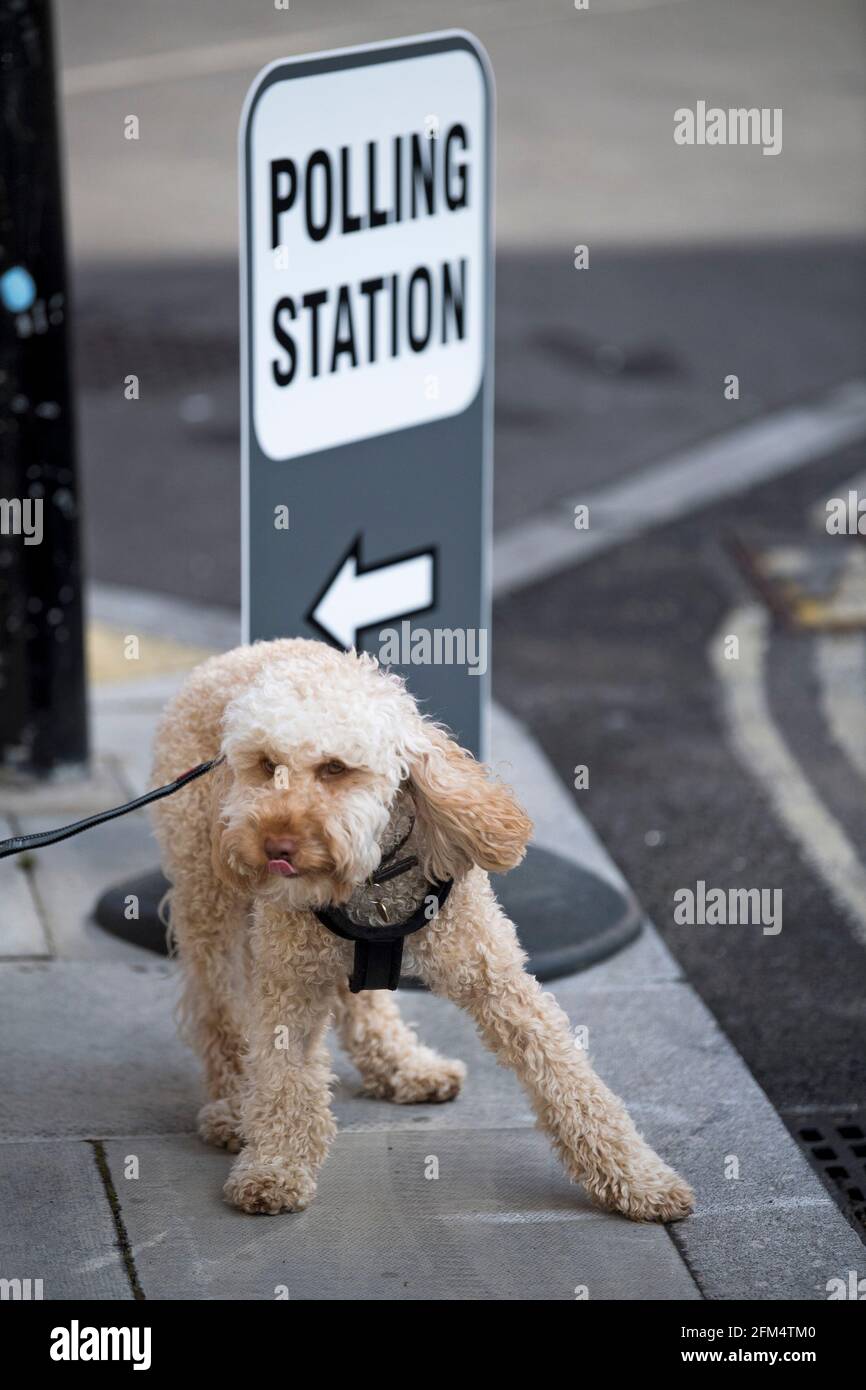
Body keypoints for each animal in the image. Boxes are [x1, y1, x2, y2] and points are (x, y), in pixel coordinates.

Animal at [148, 636, 692, 1217]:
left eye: (335, 768)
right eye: (266, 764)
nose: (275, 845)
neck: (374, 879)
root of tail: (233, 656)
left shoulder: (494, 974)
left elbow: (567, 1075)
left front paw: (636, 1177)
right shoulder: (288, 982)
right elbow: (283, 1078)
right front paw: (272, 1165)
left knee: (356, 999)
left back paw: (401, 1066)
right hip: (210, 902)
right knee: (218, 1009)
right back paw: (232, 1104)